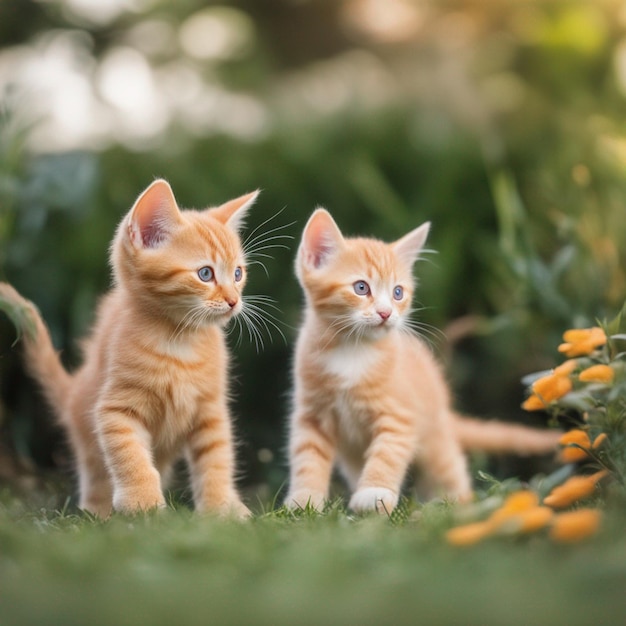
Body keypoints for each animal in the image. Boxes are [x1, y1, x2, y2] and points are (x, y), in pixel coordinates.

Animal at [0, 178, 255, 516]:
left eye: (238, 273)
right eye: (205, 273)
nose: (233, 301)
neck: (180, 342)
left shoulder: (210, 409)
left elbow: (216, 459)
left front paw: (223, 509)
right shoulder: (115, 409)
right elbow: (130, 455)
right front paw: (143, 505)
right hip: (88, 437)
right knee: (96, 476)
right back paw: (99, 514)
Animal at [286, 210, 560, 512]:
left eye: (398, 293)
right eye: (361, 288)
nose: (386, 313)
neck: (352, 351)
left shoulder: (400, 415)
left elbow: (387, 453)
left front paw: (374, 492)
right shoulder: (311, 414)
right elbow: (307, 456)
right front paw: (304, 499)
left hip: (436, 442)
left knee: (449, 472)